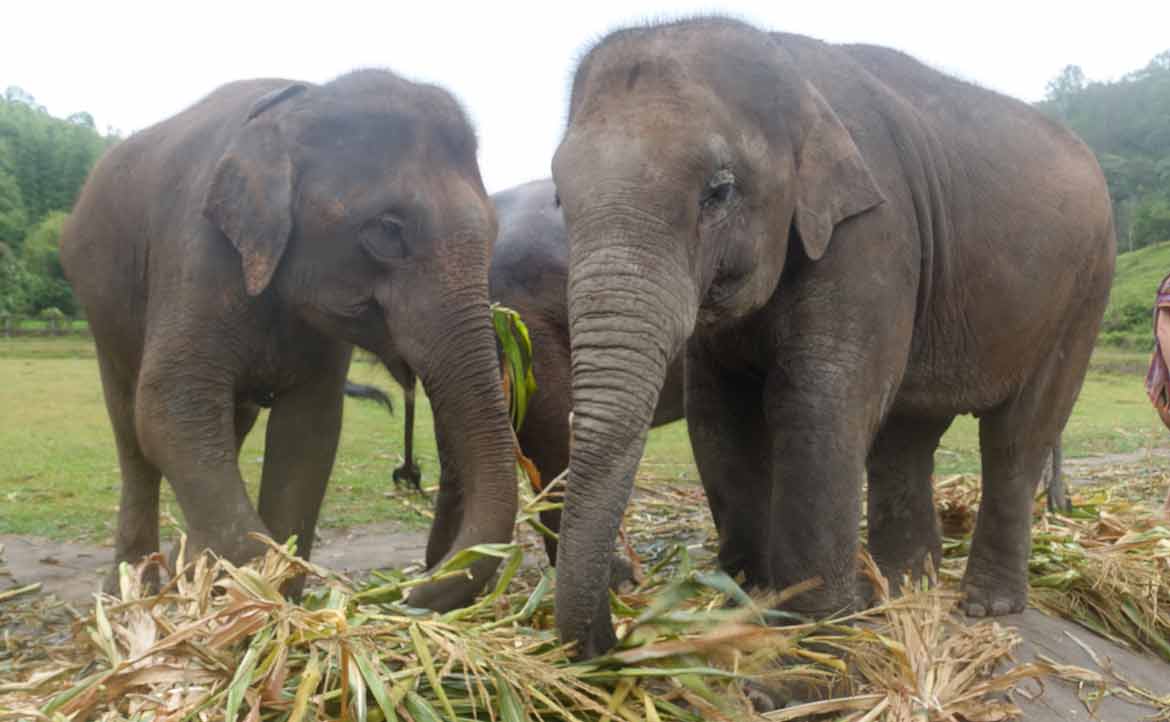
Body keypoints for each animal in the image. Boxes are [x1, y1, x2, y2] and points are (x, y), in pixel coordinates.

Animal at [59, 70, 517, 608]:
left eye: (495, 232)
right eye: (387, 231)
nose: (408, 592)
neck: (301, 102)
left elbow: (308, 433)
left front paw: (263, 594)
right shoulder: (196, 249)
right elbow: (169, 406)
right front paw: (258, 593)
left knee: (228, 424)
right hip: (101, 309)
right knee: (132, 428)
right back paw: (131, 591)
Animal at [547, 18, 1113, 659]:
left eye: (719, 190)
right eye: (560, 198)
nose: (616, 633)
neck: (790, 69)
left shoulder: (874, 232)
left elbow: (819, 398)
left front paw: (813, 627)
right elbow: (718, 412)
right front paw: (748, 598)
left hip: (1083, 293)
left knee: (1017, 437)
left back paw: (983, 605)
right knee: (907, 435)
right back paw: (901, 587)